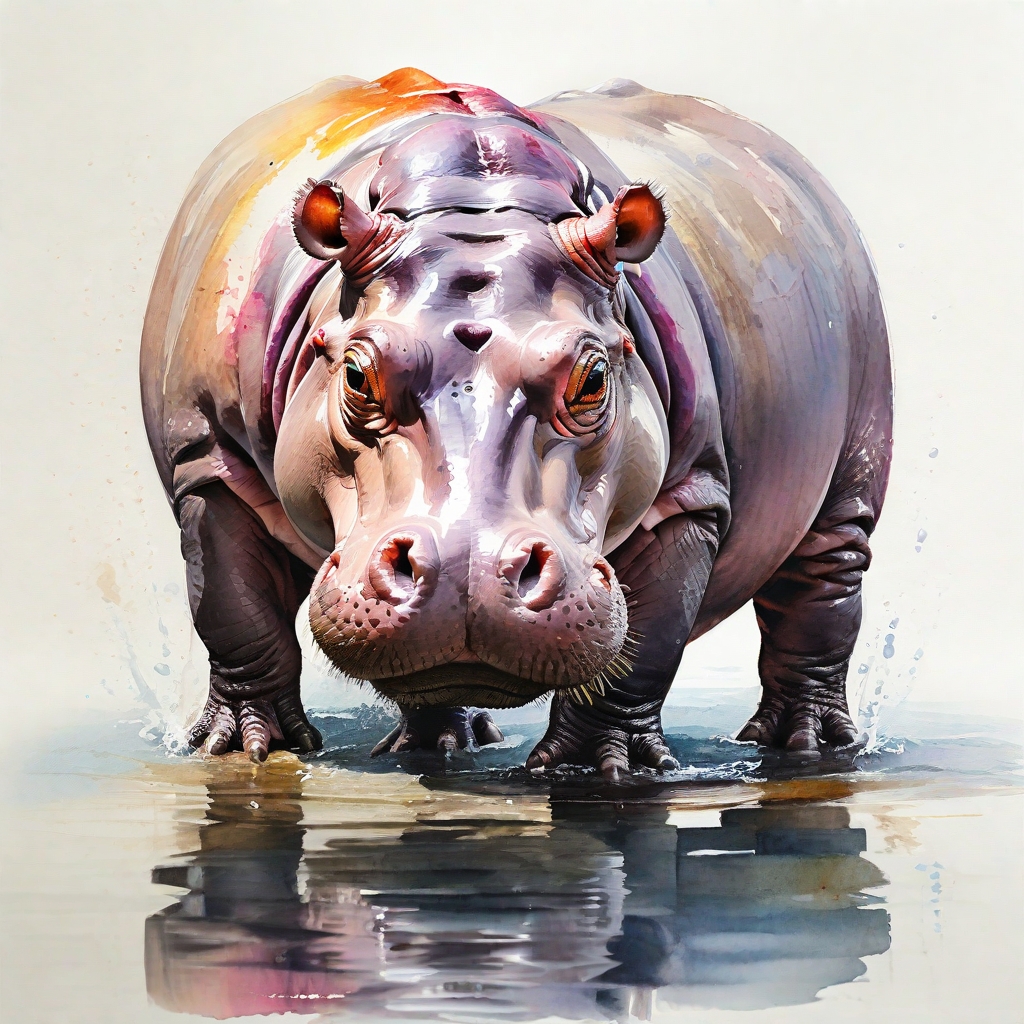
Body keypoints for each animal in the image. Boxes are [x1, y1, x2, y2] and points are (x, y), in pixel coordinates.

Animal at [140, 69, 892, 776]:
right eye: (355, 374)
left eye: (593, 378)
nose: (467, 570)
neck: (474, 204)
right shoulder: (211, 459)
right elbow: (237, 614)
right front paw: (242, 749)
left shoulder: (688, 494)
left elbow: (642, 650)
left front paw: (597, 766)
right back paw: (438, 746)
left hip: (853, 458)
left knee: (825, 583)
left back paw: (808, 745)